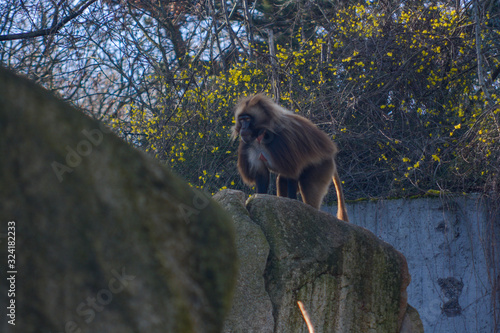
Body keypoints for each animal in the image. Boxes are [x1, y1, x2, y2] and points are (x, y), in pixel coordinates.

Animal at [230, 93, 348, 222]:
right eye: (241, 120)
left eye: (247, 119)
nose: (243, 128)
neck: (261, 135)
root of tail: (330, 155)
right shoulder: (249, 145)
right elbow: (262, 174)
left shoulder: (283, 139)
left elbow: (292, 173)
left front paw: (293, 204)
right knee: (282, 179)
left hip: (322, 166)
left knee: (308, 188)